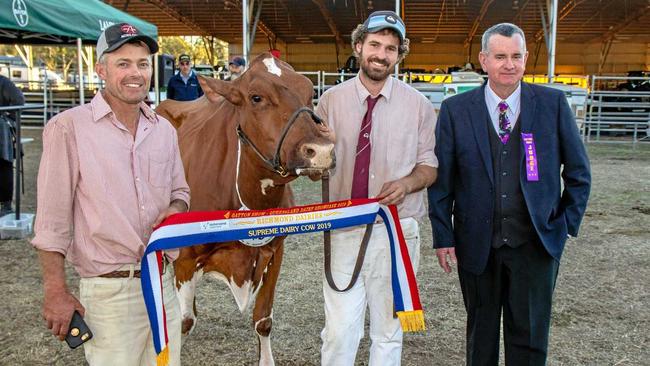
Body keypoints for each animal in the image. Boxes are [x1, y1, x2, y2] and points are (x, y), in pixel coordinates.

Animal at [154, 53, 332, 364]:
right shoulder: (185, 256)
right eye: (256, 97)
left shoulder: (276, 250)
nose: (320, 150)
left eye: (310, 92)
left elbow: (263, 319)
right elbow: (184, 322)